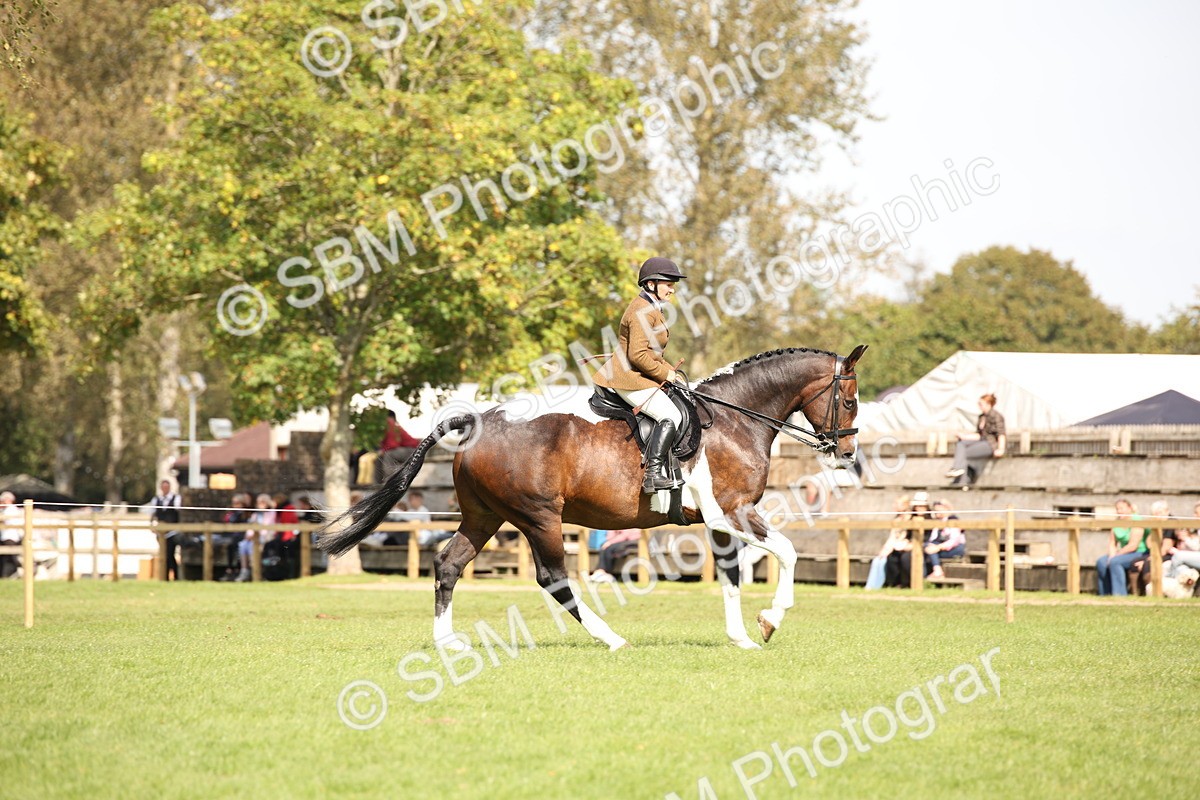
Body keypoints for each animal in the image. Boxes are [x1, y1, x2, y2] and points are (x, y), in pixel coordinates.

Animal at [319, 344, 868, 651]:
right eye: (850, 398)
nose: (846, 451)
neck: (735, 419)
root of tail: (479, 420)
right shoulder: (734, 512)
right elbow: (787, 552)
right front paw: (771, 621)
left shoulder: (718, 521)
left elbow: (732, 575)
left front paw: (742, 639)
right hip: (539, 518)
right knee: (554, 579)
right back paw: (612, 639)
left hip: (483, 517)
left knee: (448, 565)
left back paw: (447, 642)